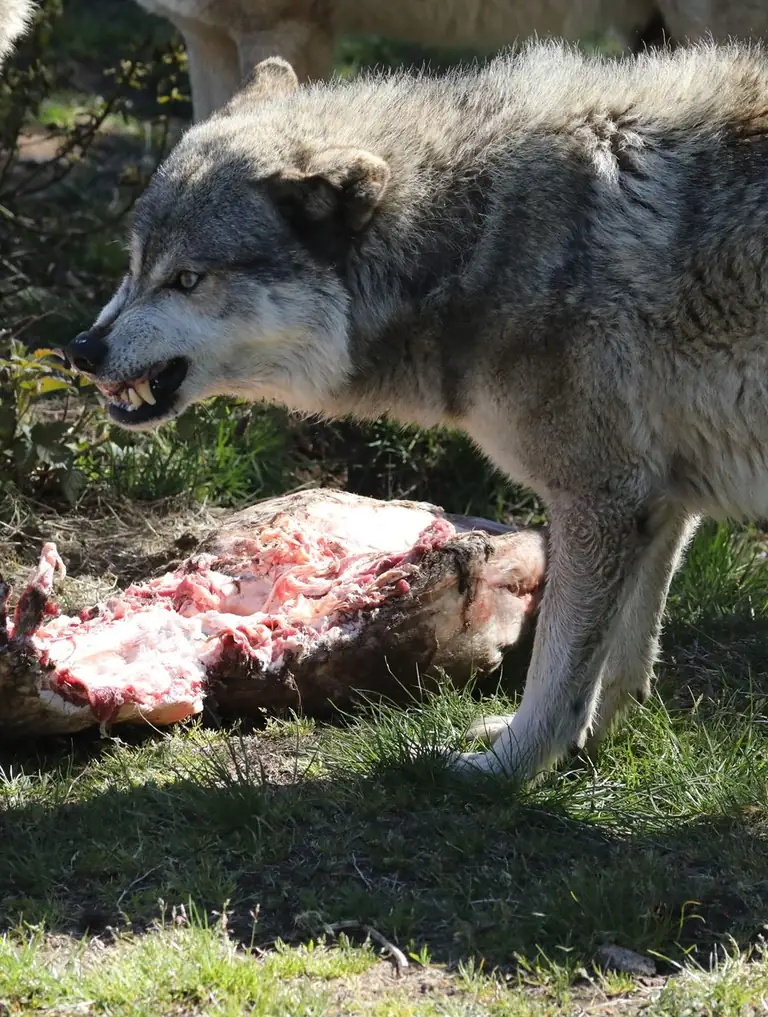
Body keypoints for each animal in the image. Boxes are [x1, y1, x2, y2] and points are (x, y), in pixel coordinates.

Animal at [65, 42, 768, 783]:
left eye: (187, 280)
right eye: (135, 266)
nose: (82, 350)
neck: (473, 238)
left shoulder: (601, 501)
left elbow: (557, 674)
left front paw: (507, 768)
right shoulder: (656, 502)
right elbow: (621, 665)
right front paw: (586, 747)